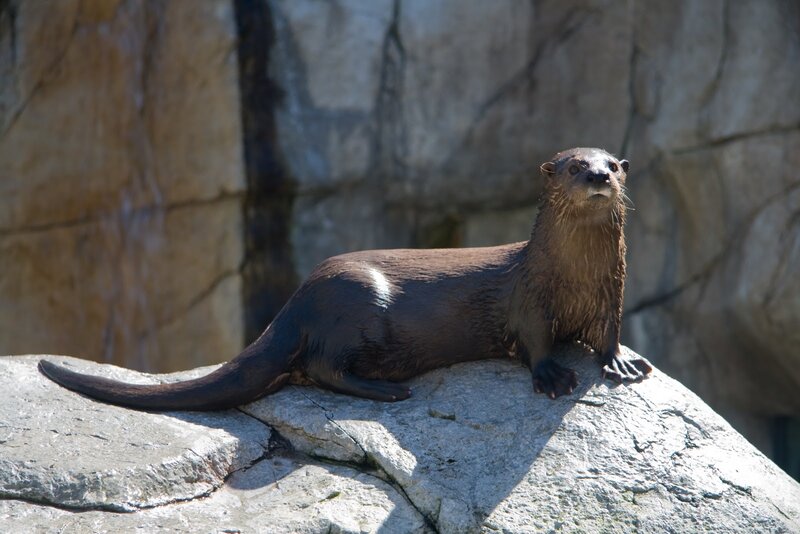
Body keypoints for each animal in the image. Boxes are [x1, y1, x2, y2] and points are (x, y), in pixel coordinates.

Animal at [38, 147, 652, 410]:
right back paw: (387, 389)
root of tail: (294, 303)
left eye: (614, 165)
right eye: (574, 165)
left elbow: (608, 333)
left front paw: (622, 362)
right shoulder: (530, 301)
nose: (599, 176)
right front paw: (553, 376)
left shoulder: (612, 293)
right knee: (321, 367)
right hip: (357, 300)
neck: (574, 275)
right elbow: (536, 342)